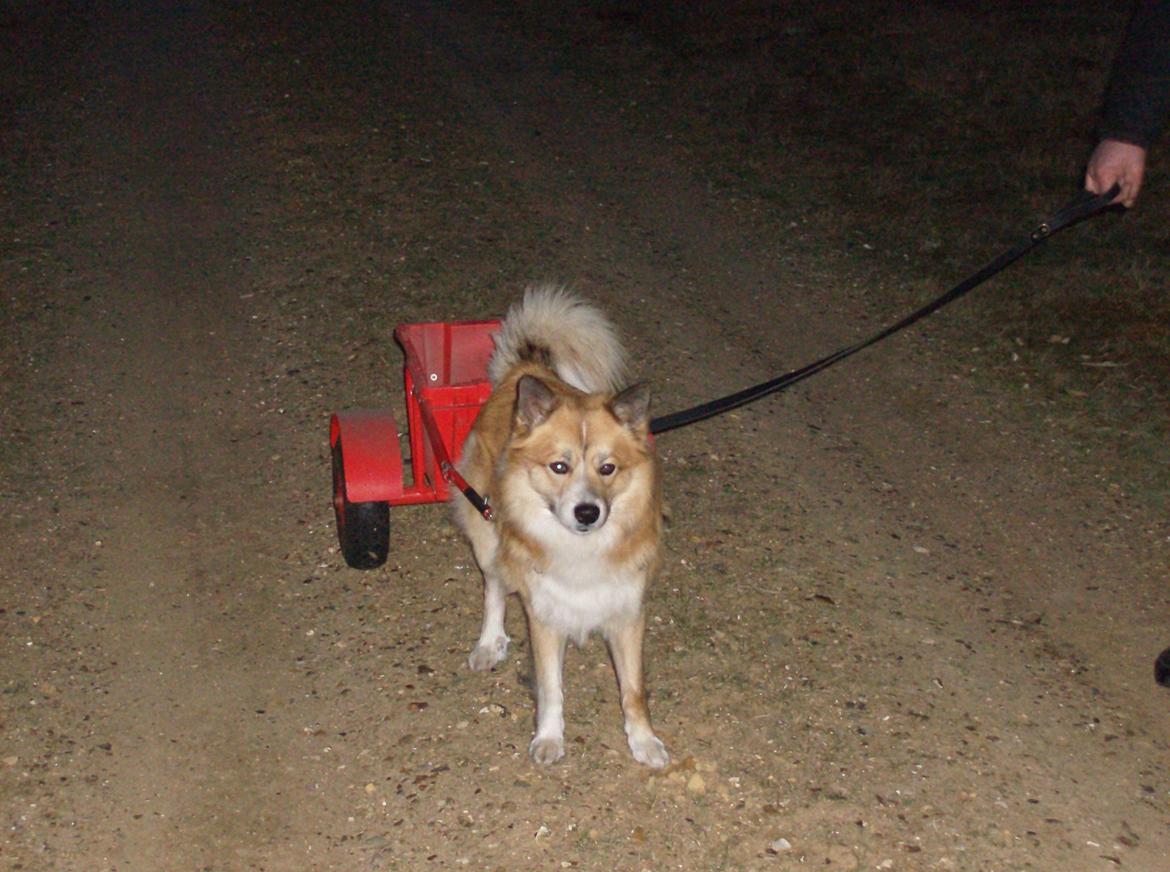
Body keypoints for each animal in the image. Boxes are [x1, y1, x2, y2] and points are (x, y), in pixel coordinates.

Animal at [453, 282, 673, 763]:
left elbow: (634, 691)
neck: (582, 549)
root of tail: (526, 368)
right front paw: (549, 738)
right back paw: (488, 643)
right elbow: (551, 687)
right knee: (494, 587)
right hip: (488, 532)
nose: (587, 512)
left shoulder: (628, 615)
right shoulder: (545, 617)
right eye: (559, 466)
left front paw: (643, 741)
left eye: (608, 468)